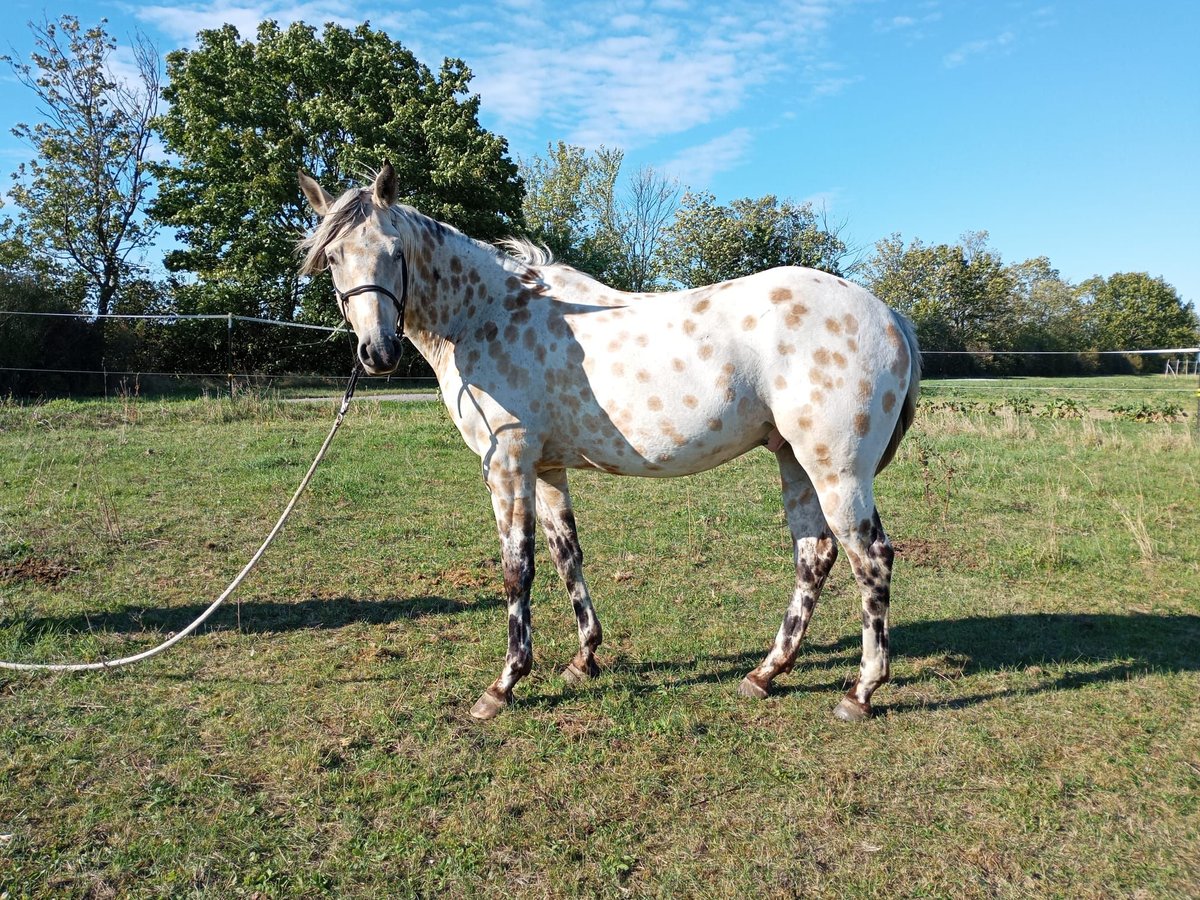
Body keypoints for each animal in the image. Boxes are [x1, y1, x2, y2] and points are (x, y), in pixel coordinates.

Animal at [297, 164, 916, 724]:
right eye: (334, 258)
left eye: (394, 251)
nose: (377, 352)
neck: (485, 315)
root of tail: (887, 313)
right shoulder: (546, 469)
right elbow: (565, 556)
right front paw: (584, 658)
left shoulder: (508, 466)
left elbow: (516, 569)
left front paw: (504, 685)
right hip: (795, 462)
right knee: (815, 555)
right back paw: (765, 674)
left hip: (837, 471)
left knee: (870, 559)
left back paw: (861, 693)